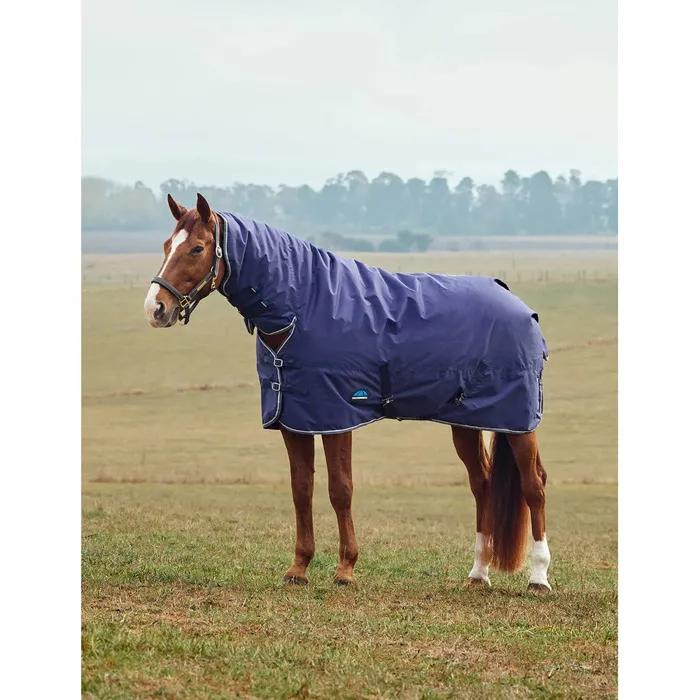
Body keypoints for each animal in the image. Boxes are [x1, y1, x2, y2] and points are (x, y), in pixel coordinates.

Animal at [144, 193, 552, 592]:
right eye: (166, 245)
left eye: (197, 248)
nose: (155, 308)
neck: (303, 308)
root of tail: (520, 306)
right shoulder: (294, 420)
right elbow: (301, 489)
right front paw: (299, 568)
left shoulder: (336, 416)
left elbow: (340, 490)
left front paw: (345, 570)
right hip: (466, 422)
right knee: (482, 485)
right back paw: (478, 574)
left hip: (519, 422)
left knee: (534, 485)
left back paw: (539, 577)